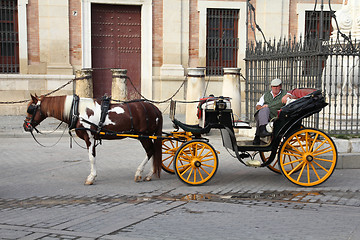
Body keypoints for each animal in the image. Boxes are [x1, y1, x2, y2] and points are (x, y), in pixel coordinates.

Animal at [22, 94, 163, 185]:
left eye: (30, 109)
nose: (25, 126)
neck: (77, 111)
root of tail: (155, 109)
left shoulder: (89, 138)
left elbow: (91, 157)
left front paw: (91, 177)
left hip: (144, 136)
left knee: (150, 151)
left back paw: (139, 173)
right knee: (153, 152)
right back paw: (150, 174)